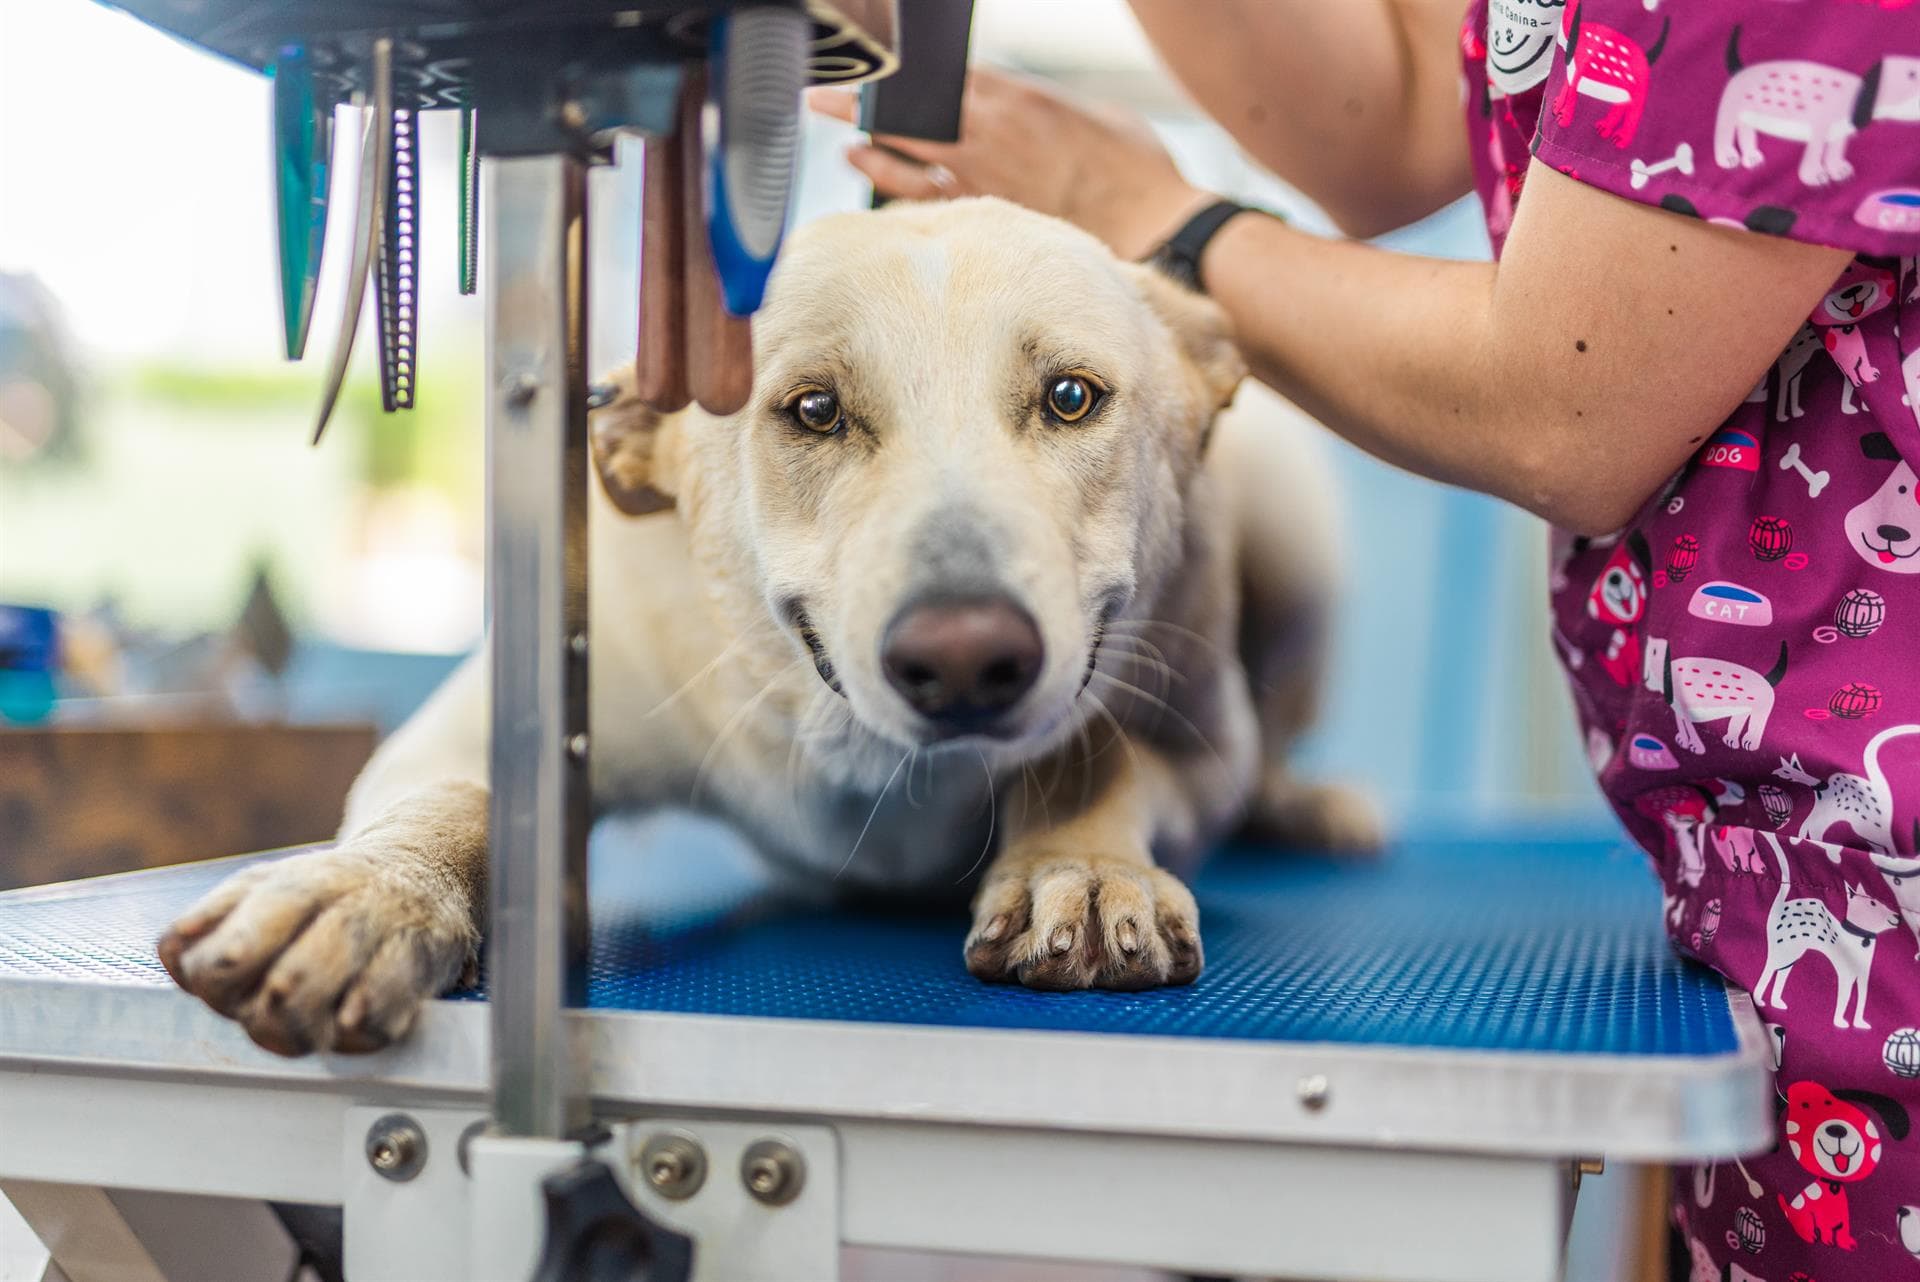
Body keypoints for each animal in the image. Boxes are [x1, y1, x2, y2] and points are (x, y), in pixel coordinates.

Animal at [157, 200, 1374, 1059]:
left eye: (1072, 397)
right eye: (816, 411)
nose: (965, 660)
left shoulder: (1195, 743)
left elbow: (1099, 758)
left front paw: (1079, 866)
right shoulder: (478, 730)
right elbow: (452, 804)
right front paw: (364, 895)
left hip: (1299, 535)